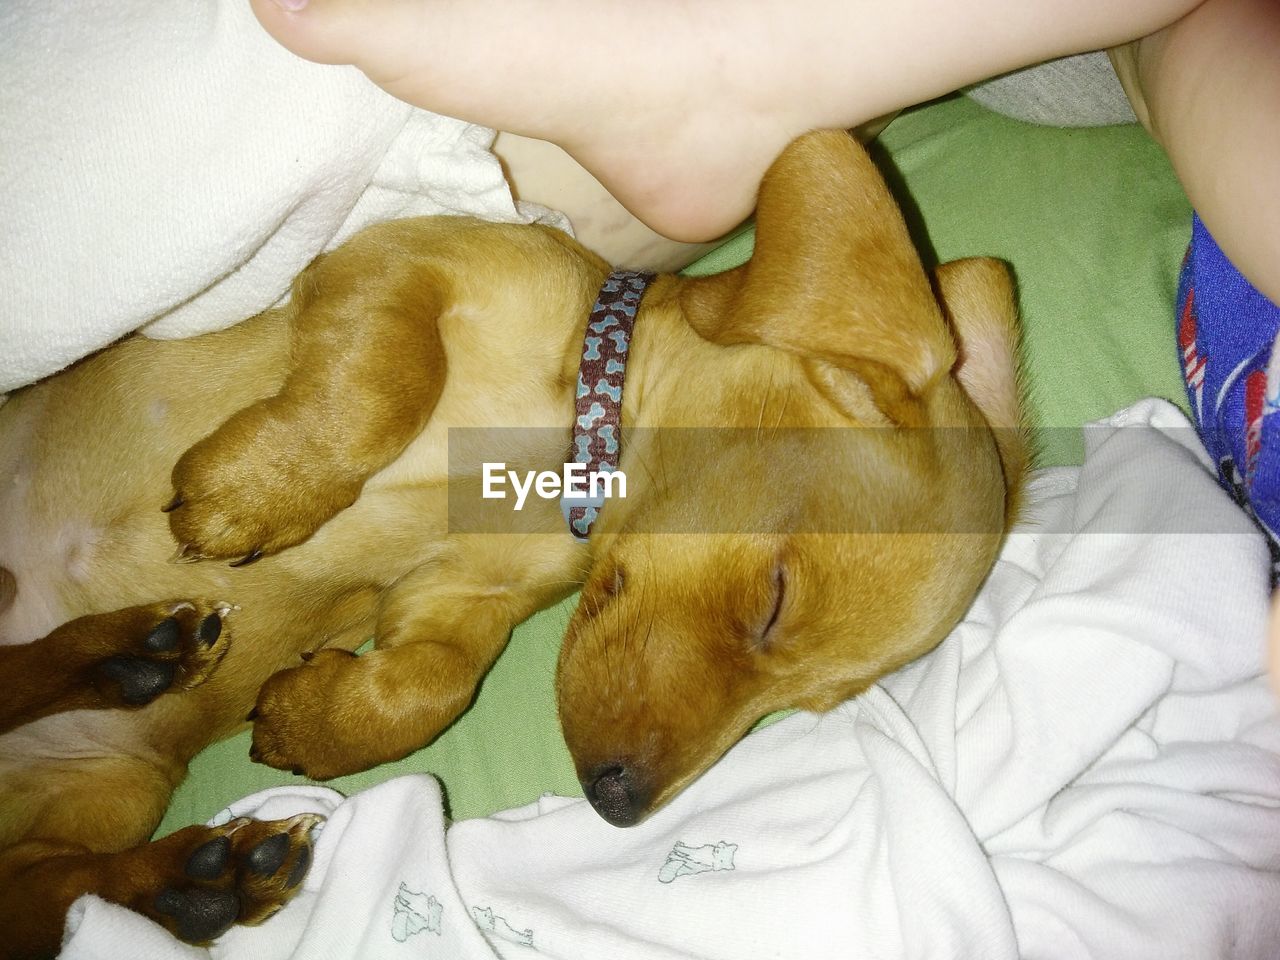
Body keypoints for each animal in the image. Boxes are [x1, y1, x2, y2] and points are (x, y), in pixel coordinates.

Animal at [0, 131, 1024, 957]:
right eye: (775, 597)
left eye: (804, 706)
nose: (617, 807)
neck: (564, 438)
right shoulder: (391, 263)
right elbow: (384, 383)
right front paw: (257, 493)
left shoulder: (457, 596)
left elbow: (433, 684)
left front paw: (312, 719)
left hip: (111, 788)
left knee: (42, 884)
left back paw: (189, 847)